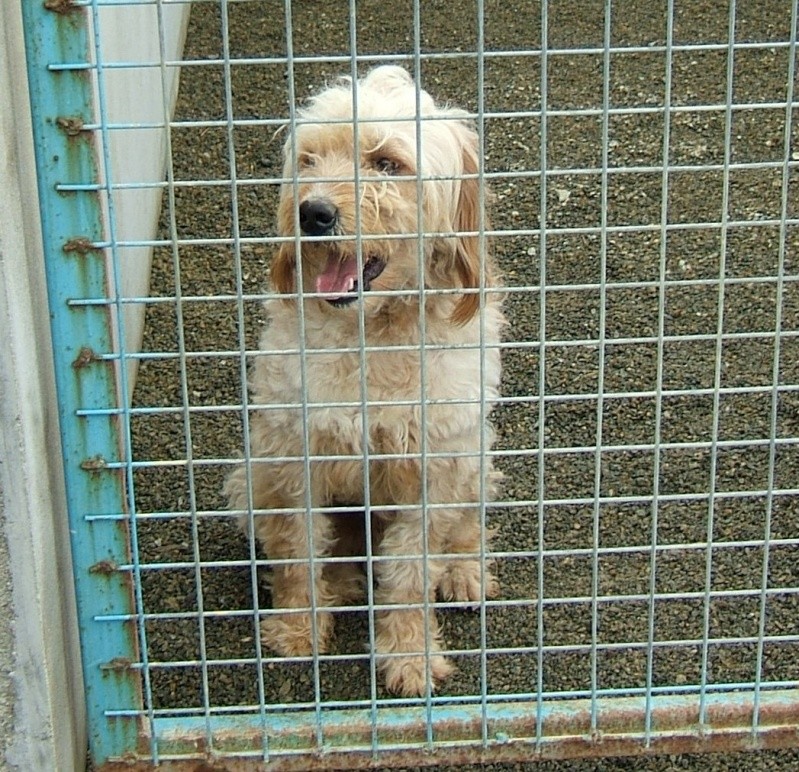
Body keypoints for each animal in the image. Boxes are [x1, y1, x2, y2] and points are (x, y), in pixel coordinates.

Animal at [225, 63, 504, 696]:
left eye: (387, 163)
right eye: (309, 160)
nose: (313, 214)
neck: (372, 335)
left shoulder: (433, 470)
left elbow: (409, 573)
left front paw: (408, 655)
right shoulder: (293, 459)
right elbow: (297, 552)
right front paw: (298, 629)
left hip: (475, 456)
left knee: (467, 525)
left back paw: (464, 570)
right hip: (250, 478)